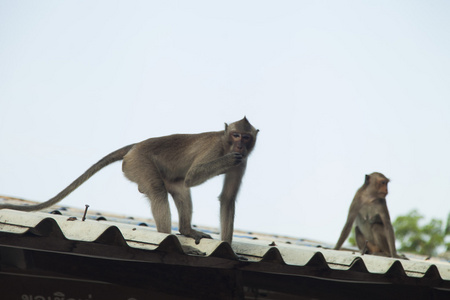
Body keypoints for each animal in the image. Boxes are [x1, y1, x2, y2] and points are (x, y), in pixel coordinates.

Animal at [0, 116, 258, 245]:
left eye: (246, 137)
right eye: (235, 135)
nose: (239, 146)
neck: (226, 144)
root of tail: (136, 146)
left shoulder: (243, 162)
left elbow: (227, 198)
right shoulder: (216, 150)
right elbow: (193, 176)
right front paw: (228, 158)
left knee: (179, 189)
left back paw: (185, 230)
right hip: (138, 163)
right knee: (159, 190)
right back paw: (167, 235)